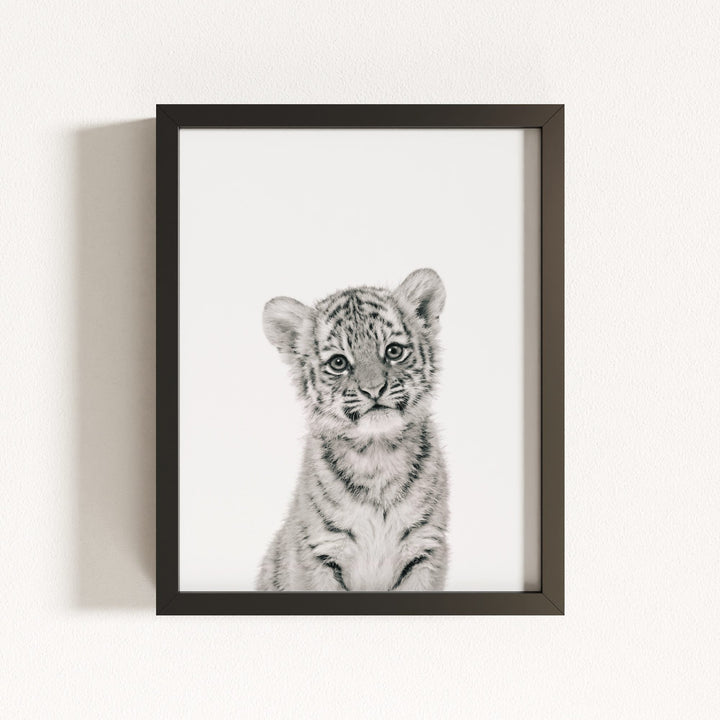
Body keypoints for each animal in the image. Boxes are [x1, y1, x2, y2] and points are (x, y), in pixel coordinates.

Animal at [256, 268, 449, 592]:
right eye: (338, 362)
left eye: (393, 351)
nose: (374, 390)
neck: (377, 454)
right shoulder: (320, 553)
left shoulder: (425, 549)